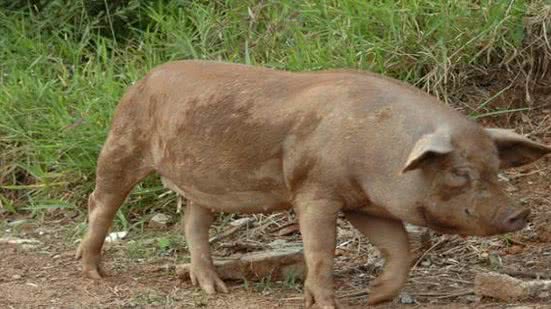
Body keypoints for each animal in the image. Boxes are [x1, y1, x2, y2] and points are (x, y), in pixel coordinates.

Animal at [74, 60, 551, 306]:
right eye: (459, 173)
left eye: (495, 167)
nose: (521, 212)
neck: (380, 150)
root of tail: (142, 78)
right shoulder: (315, 190)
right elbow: (320, 252)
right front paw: (327, 303)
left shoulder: (364, 203)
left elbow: (400, 249)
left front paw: (373, 297)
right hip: (124, 141)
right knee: (101, 201)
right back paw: (92, 271)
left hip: (199, 182)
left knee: (193, 223)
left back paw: (214, 288)